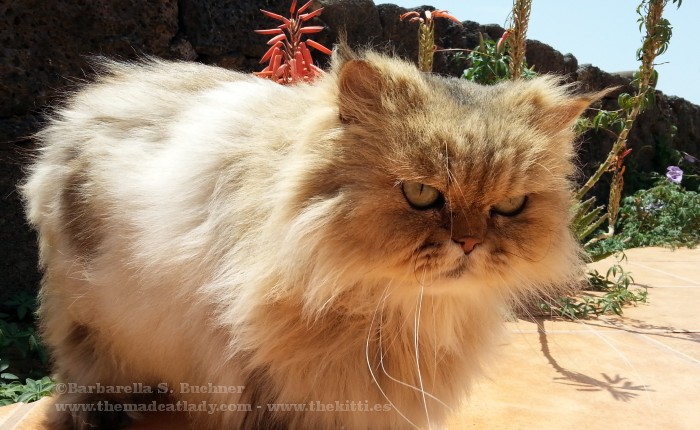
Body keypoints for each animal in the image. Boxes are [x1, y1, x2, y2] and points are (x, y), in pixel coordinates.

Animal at [20, 47, 600, 430]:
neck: (394, 310)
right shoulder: (271, 382)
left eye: (510, 206)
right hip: (93, 329)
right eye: (420, 194)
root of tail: (86, 105)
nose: (470, 244)